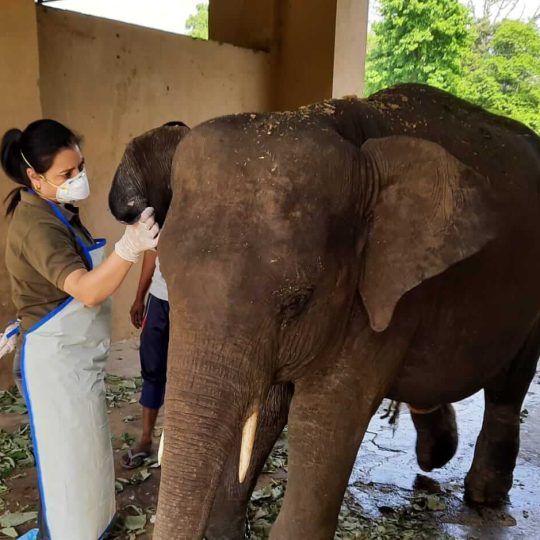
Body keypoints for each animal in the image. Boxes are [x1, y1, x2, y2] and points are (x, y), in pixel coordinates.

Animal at [109, 84, 540, 540]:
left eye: (298, 301)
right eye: (168, 281)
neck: (336, 122)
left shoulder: (379, 297)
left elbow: (320, 420)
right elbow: (271, 408)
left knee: (508, 386)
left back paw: (484, 496)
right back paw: (437, 454)